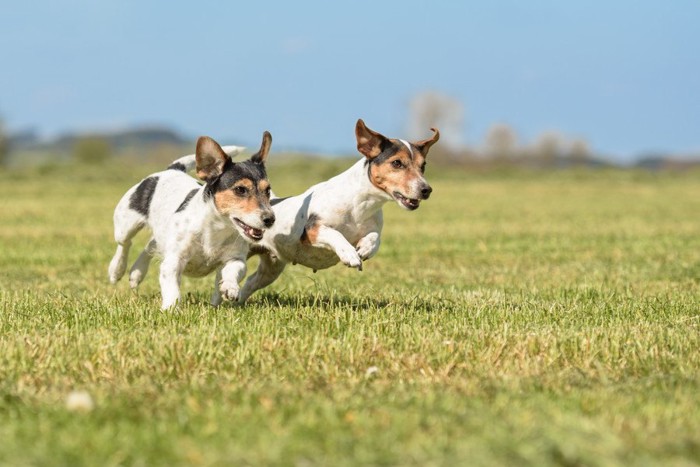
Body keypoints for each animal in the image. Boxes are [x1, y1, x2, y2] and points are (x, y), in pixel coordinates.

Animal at [238, 118, 440, 304]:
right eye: (397, 163)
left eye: (423, 166)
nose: (426, 190)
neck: (360, 205)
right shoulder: (312, 230)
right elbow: (335, 234)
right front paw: (349, 254)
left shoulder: (371, 228)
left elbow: (375, 238)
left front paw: (366, 248)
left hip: (271, 268)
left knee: (250, 282)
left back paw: (236, 299)